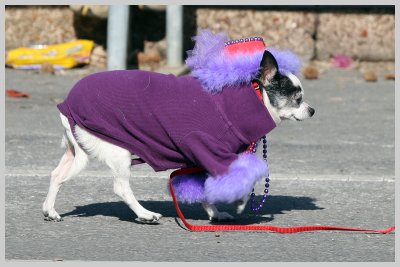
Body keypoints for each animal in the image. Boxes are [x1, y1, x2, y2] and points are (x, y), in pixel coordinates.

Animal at [42, 39, 314, 225]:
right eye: (297, 98)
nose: (312, 110)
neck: (253, 99)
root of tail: (68, 105)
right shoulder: (213, 154)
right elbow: (242, 181)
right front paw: (239, 202)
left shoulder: (200, 160)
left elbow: (205, 192)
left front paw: (216, 213)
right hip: (118, 153)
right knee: (120, 187)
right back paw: (145, 214)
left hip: (76, 153)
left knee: (57, 175)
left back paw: (50, 210)